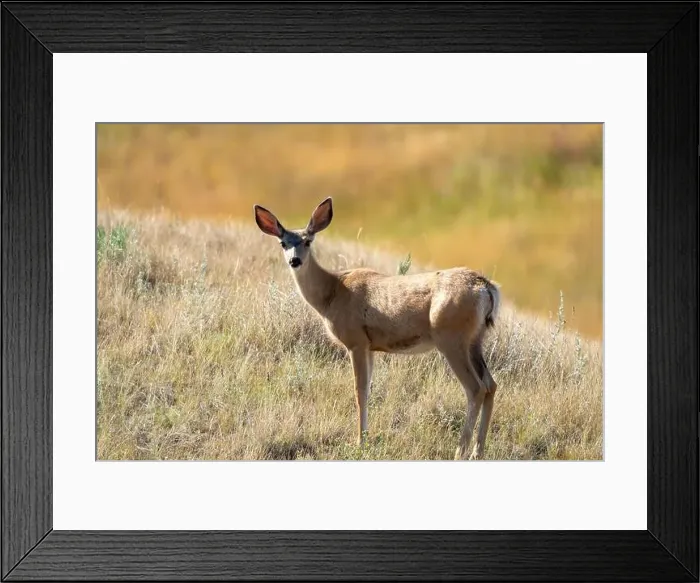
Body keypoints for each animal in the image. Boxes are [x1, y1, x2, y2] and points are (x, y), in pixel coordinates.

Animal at [254, 197, 501, 460]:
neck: (332, 294)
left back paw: (459, 452)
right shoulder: (371, 346)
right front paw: (367, 438)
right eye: (283, 243)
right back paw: (477, 452)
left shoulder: (356, 341)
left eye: (308, 241)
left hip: (451, 338)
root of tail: (486, 287)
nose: (295, 261)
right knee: (490, 384)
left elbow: (359, 391)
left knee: (475, 388)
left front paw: (360, 443)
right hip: (475, 340)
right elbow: (369, 389)